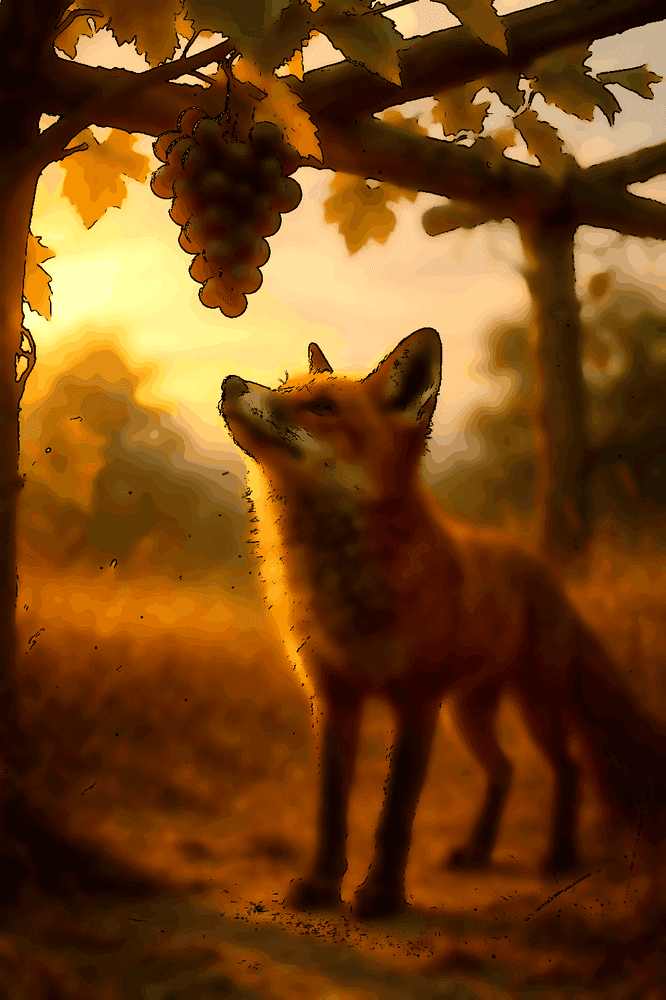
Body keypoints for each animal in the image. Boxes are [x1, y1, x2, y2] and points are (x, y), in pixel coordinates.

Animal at [219, 327, 665, 920]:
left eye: (324, 408)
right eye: (286, 387)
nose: (230, 381)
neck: (346, 590)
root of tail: (540, 566)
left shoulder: (416, 700)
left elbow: (394, 814)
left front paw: (381, 895)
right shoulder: (335, 698)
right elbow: (331, 808)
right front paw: (320, 885)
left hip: (534, 703)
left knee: (566, 767)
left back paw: (559, 856)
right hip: (468, 712)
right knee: (505, 770)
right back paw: (477, 851)